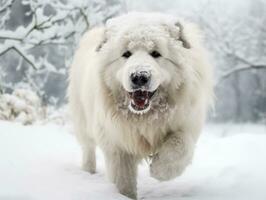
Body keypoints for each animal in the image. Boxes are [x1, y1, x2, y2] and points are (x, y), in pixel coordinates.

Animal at [68, 12, 214, 198]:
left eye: (156, 53)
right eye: (126, 53)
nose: (139, 76)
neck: (144, 118)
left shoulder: (186, 123)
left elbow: (180, 145)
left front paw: (159, 170)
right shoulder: (117, 142)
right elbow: (123, 179)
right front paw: (124, 196)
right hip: (82, 119)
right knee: (88, 147)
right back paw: (88, 171)